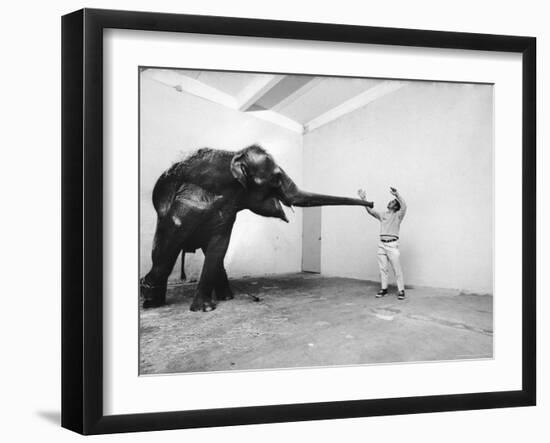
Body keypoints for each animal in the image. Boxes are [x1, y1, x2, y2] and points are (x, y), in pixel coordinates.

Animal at [142, 146, 376, 312]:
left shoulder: (227, 213)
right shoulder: (187, 204)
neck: (235, 155)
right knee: (164, 250)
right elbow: (170, 246)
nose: (371, 202)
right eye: (277, 177)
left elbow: (219, 246)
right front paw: (203, 309)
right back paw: (150, 301)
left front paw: (205, 308)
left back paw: (226, 297)